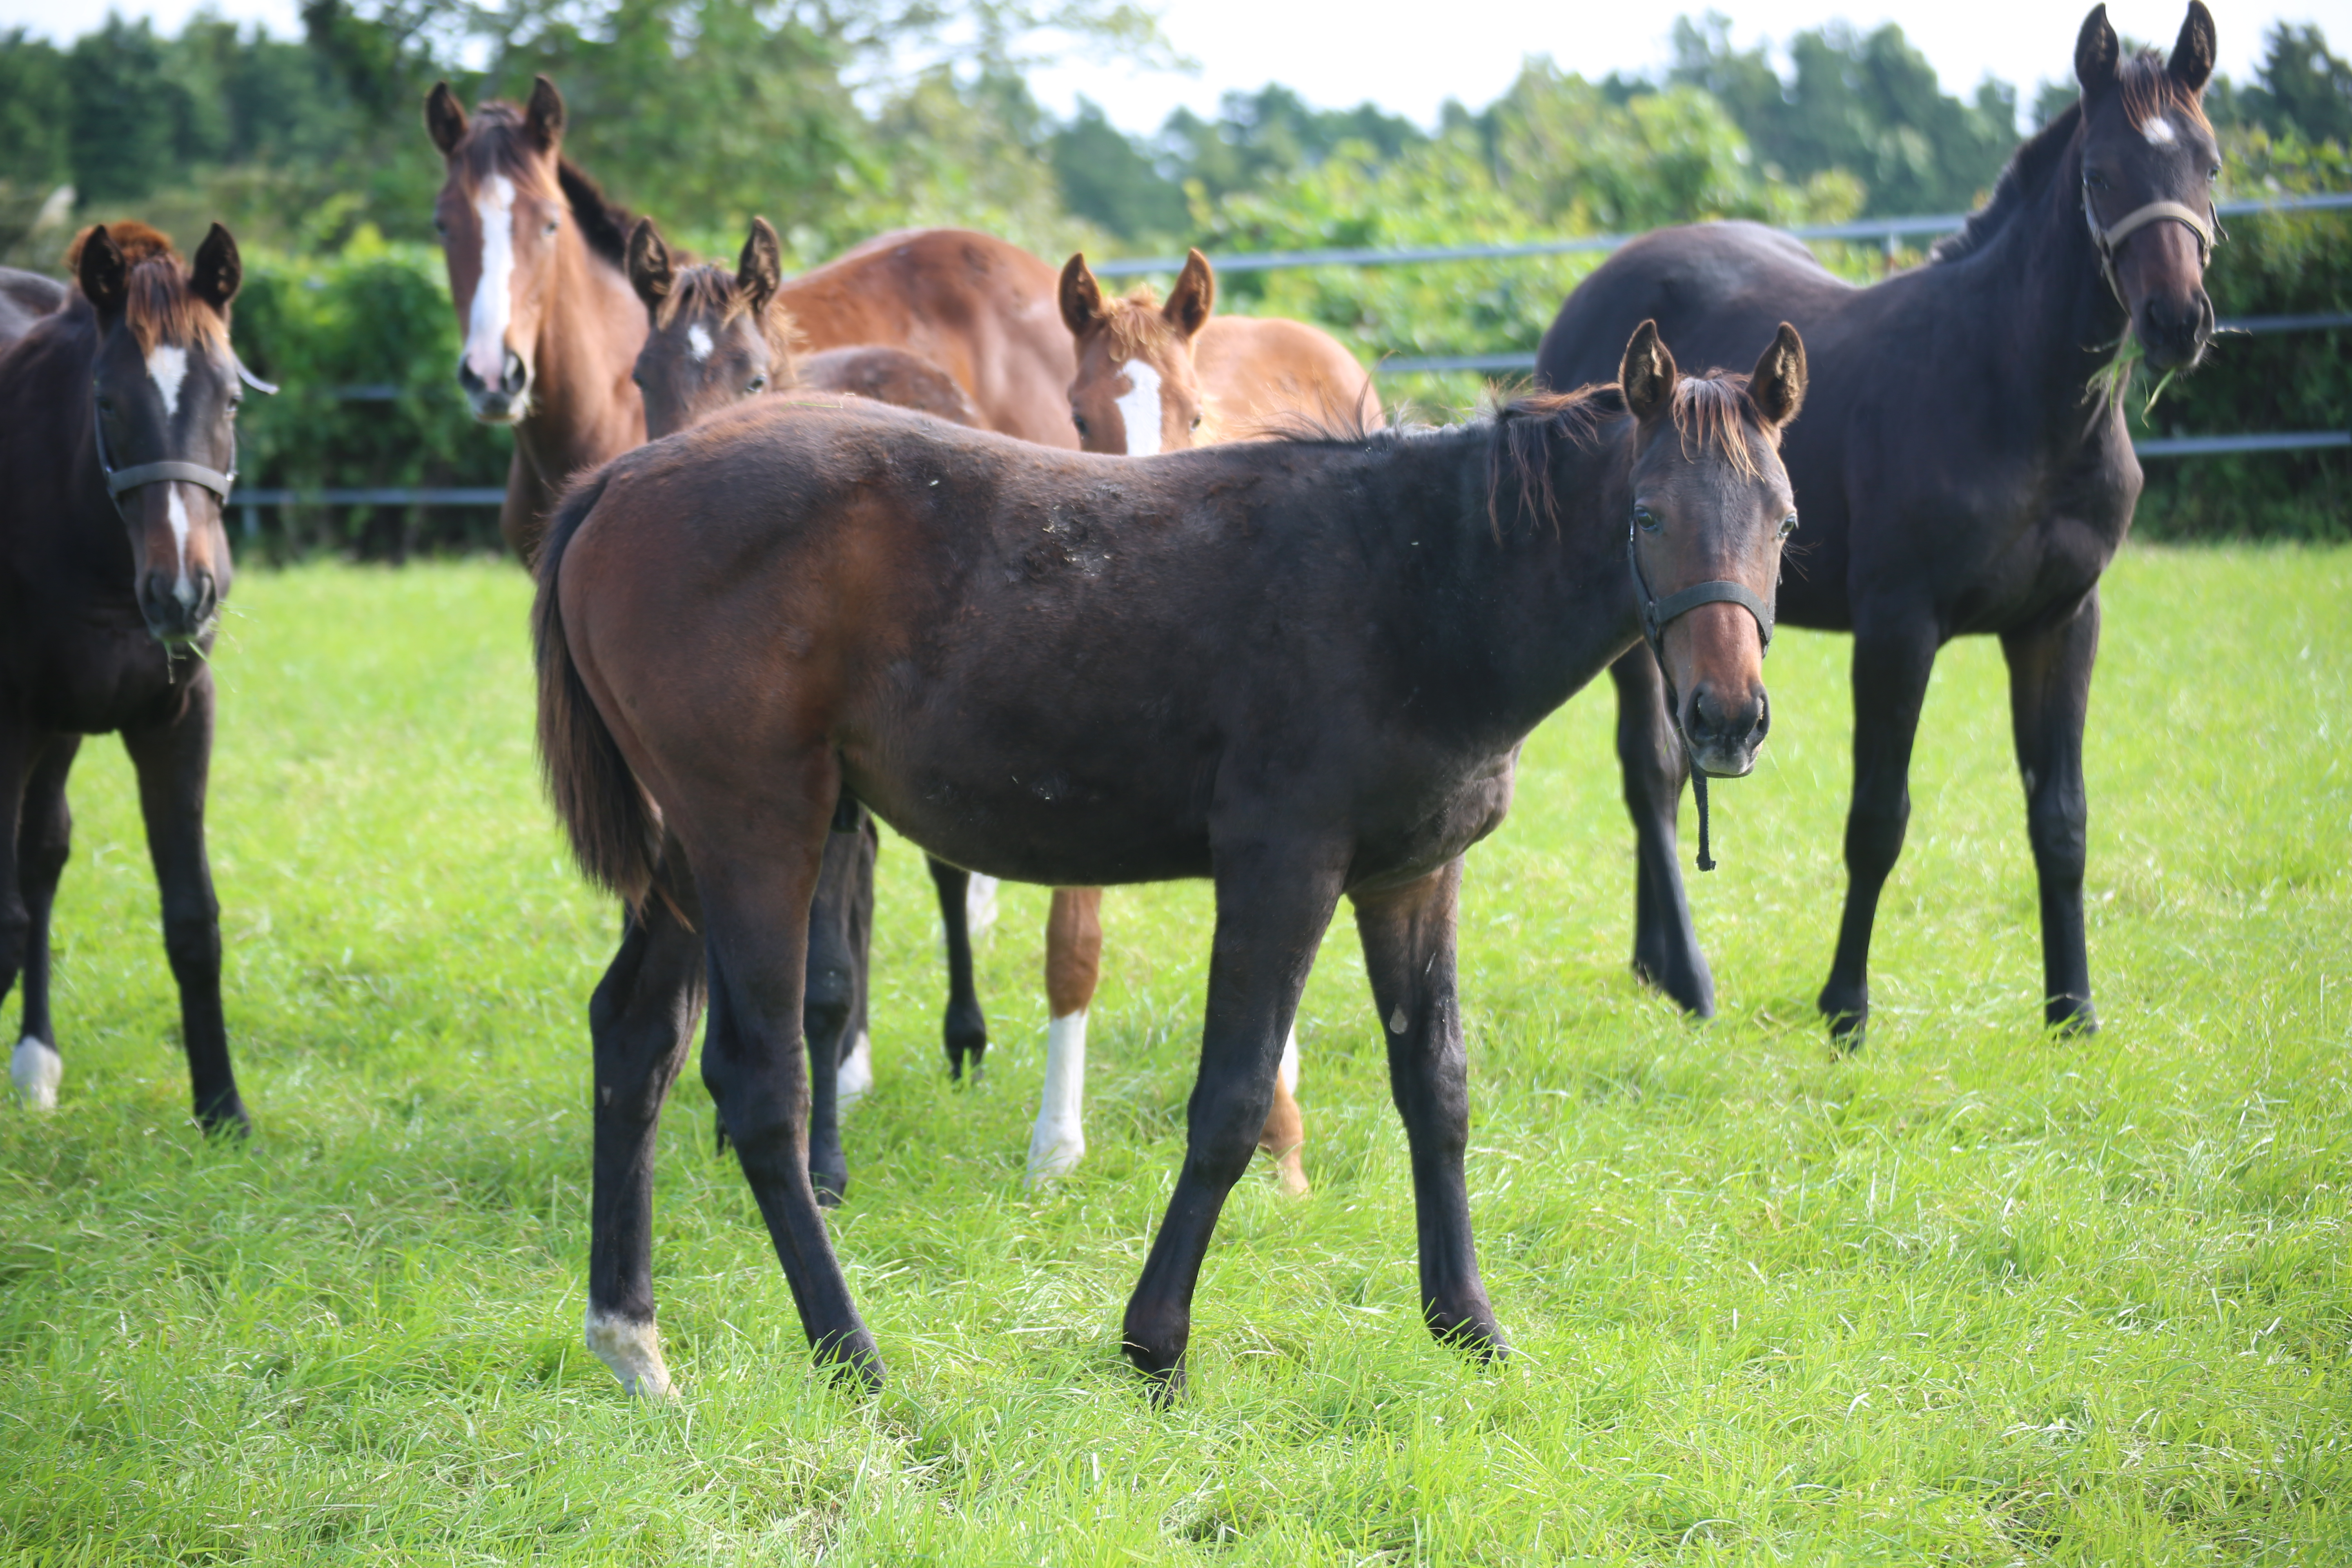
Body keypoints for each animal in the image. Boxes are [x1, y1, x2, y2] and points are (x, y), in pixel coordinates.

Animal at [2, 221, 253, 1128]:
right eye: (107, 403)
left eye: (231, 400)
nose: (182, 593)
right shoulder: (9, 720)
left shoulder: (175, 716)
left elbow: (193, 919)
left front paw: (223, 1110)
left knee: (42, 852)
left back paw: (36, 1060)